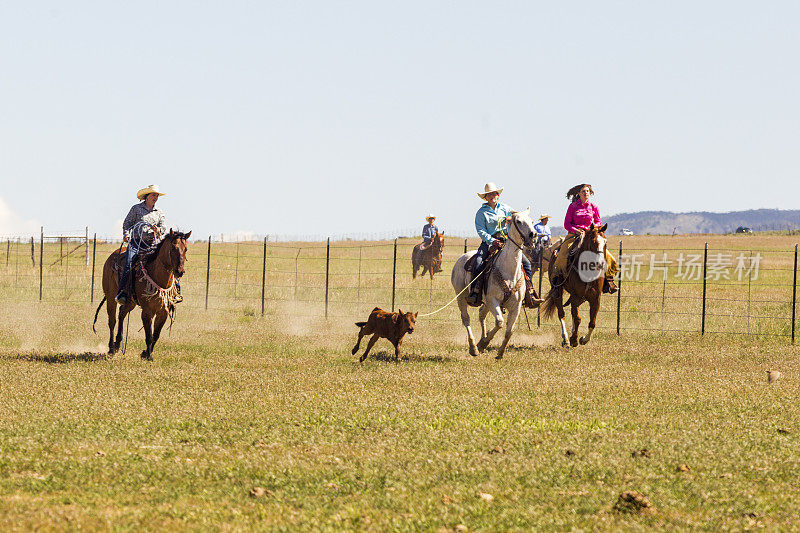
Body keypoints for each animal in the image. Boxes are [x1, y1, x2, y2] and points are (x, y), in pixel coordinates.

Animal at [92, 230, 191, 360]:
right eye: (173, 248)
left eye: (186, 249)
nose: (180, 271)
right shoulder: (147, 311)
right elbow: (149, 335)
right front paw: (148, 355)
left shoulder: (163, 312)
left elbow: (156, 335)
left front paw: (145, 353)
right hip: (110, 297)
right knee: (112, 321)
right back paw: (111, 348)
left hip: (131, 302)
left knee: (121, 314)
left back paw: (117, 344)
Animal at [450, 209, 536, 362]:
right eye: (518, 221)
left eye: (531, 221)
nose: (533, 235)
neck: (508, 270)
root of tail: (462, 258)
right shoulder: (492, 300)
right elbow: (500, 322)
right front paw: (483, 344)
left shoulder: (516, 306)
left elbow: (509, 330)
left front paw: (499, 353)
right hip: (461, 297)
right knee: (466, 319)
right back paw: (474, 347)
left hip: (484, 302)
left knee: (481, 314)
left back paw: (480, 341)